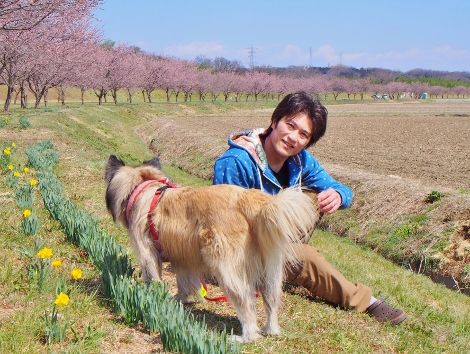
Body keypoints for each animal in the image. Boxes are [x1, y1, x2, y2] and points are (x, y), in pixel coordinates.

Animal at [104, 156, 320, 342]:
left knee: (245, 302)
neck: (143, 188)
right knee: (271, 299)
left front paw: (154, 298)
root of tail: (251, 200)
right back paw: (270, 329)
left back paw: (246, 337)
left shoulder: (147, 250)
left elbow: (153, 278)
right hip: (269, 269)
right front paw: (180, 300)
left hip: (224, 266)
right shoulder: (184, 259)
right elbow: (184, 283)